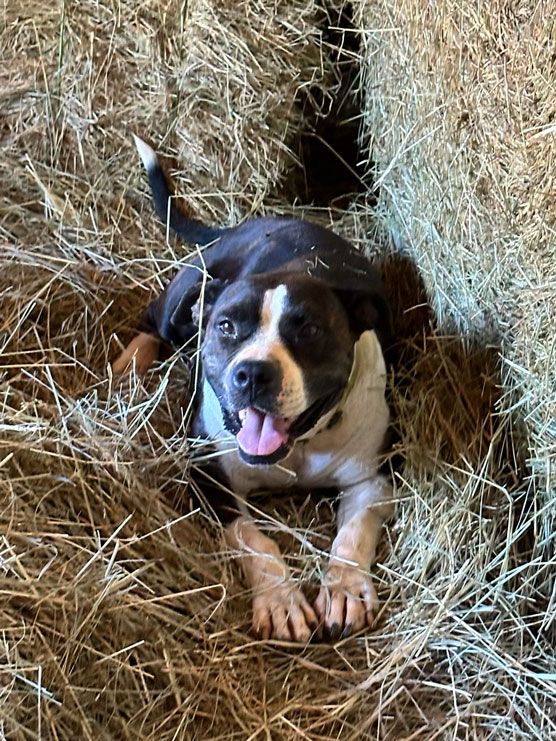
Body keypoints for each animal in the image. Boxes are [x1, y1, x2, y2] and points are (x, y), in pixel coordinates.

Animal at [113, 137, 394, 640]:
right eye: (226, 326)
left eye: (309, 330)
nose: (253, 373)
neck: (300, 447)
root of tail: (253, 223)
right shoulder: (210, 479)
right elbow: (255, 540)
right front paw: (281, 600)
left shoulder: (373, 479)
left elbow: (352, 533)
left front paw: (343, 588)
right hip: (189, 285)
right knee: (152, 319)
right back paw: (131, 363)